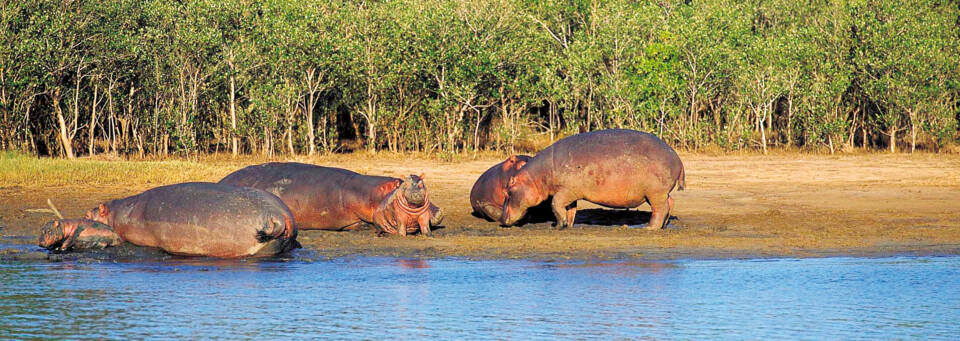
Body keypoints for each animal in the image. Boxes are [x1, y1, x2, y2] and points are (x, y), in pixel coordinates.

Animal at [498, 129, 688, 230]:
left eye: (507, 192)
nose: (500, 219)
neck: (536, 176)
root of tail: (678, 158)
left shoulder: (564, 190)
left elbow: (555, 205)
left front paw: (558, 225)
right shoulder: (570, 192)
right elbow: (570, 209)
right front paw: (569, 225)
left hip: (655, 192)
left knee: (660, 208)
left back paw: (649, 228)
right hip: (657, 193)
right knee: (670, 203)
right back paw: (663, 226)